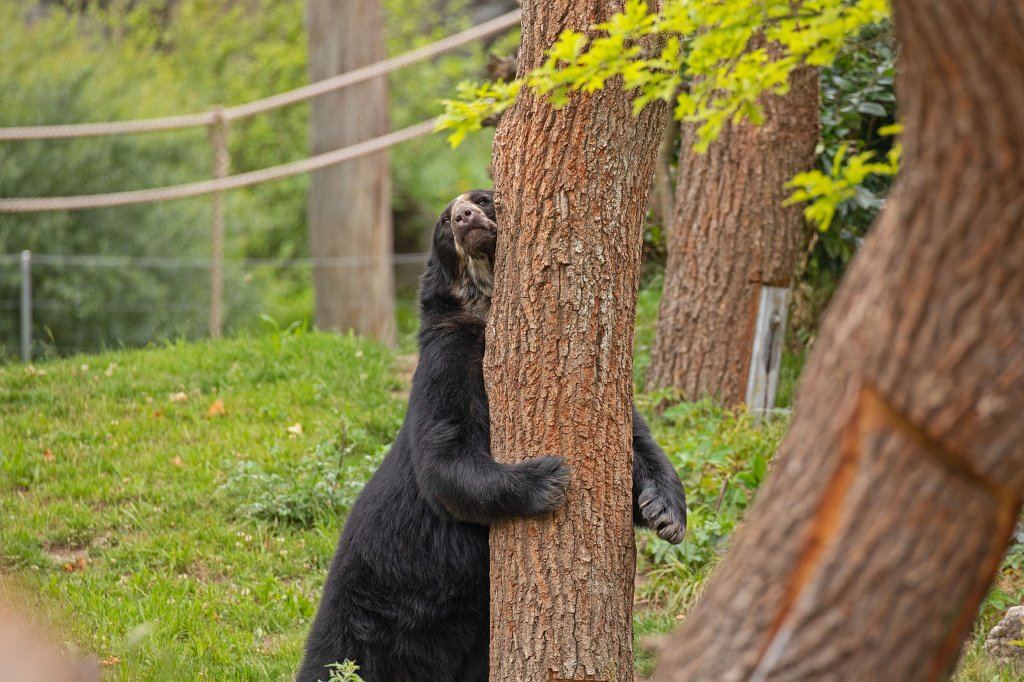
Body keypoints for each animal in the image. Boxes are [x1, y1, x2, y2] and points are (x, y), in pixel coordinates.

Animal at [296, 189, 687, 682]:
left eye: (484, 199)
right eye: (444, 221)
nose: (464, 216)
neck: (483, 313)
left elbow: (632, 441)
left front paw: (665, 513)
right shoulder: (448, 357)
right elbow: (444, 455)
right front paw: (547, 478)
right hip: (366, 609)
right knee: (333, 659)